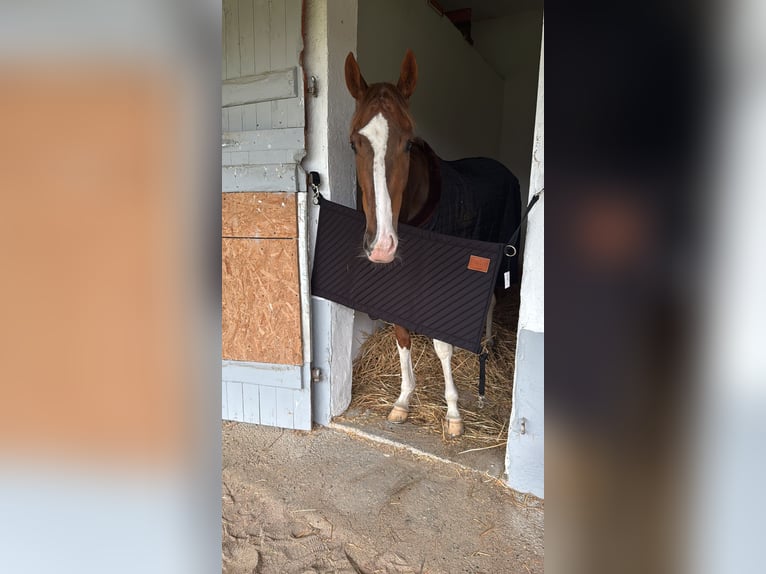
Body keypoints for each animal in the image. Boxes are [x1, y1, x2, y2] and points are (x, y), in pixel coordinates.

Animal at [344, 49, 521, 438]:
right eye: (353, 142)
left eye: (409, 142)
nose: (382, 245)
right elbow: (402, 337)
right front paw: (402, 401)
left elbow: (442, 346)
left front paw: (453, 413)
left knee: (492, 299)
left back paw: (486, 343)